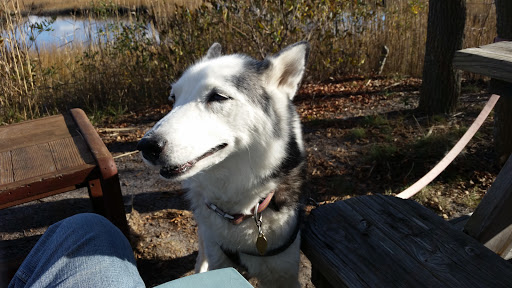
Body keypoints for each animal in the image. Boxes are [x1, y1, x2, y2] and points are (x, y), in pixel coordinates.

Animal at [136, 41, 310, 286]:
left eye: (218, 97)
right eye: (173, 98)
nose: (146, 146)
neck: (238, 210)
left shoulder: (283, 273)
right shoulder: (219, 258)